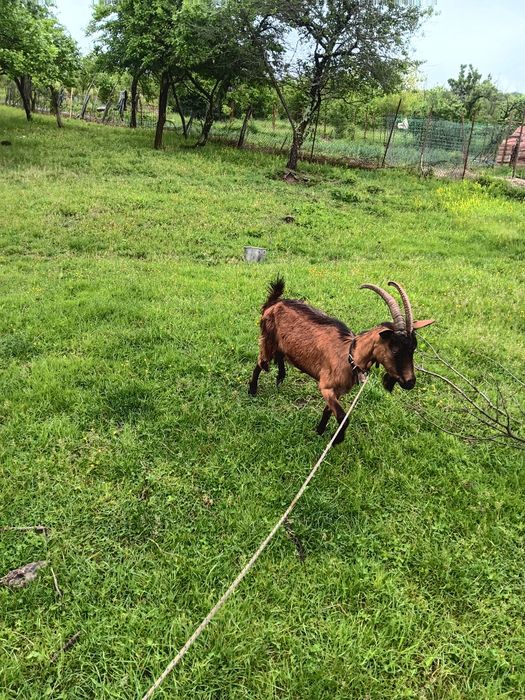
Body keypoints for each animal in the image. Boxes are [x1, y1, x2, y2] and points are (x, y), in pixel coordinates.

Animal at [249, 278, 434, 444]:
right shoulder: (326, 387)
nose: (410, 382)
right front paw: (337, 439)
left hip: (281, 344)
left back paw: (280, 378)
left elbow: (329, 412)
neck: (349, 356)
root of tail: (274, 302)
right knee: (260, 363)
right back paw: (252, 390)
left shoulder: (338, 391)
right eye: (394, 349)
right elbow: (343, 416)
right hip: (268, 340)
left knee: (279, 357)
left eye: (414, 348)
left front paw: (319, 431)